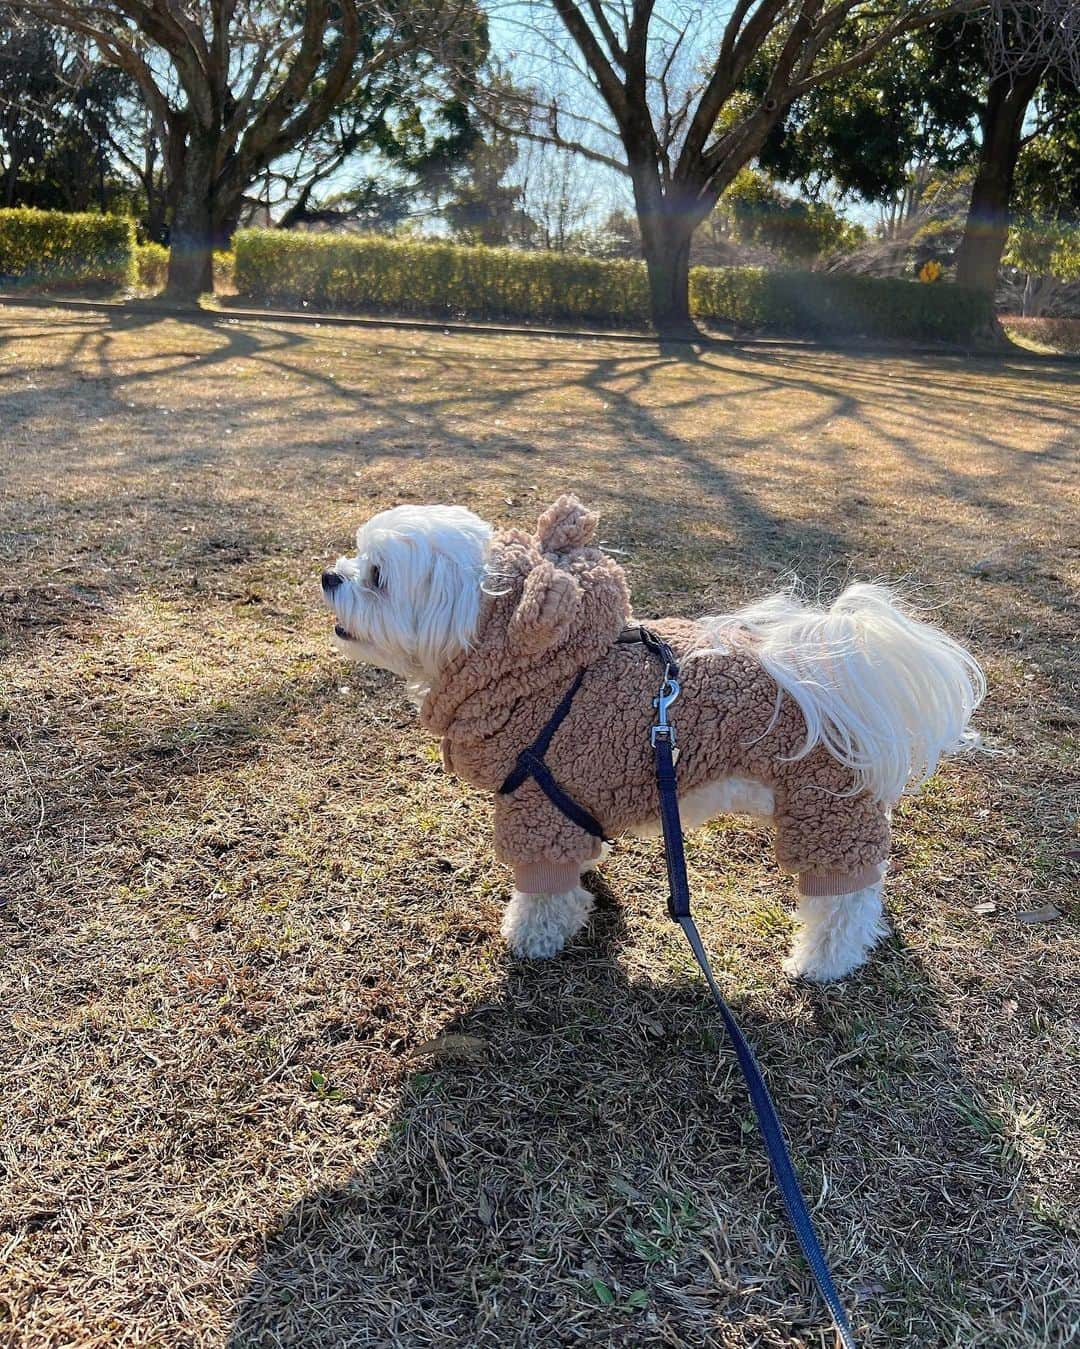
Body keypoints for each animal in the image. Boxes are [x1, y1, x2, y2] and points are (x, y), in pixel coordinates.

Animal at [315, 496, 981, 982]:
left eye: (375, 576)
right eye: (356, 559)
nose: (328, 577)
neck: (537, 664)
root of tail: (840, 673)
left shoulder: (534, 804)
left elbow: (542, 893)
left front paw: (531, 939)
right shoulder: (565, 803)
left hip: (824, 809)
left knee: (842, 901)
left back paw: (822, 963)